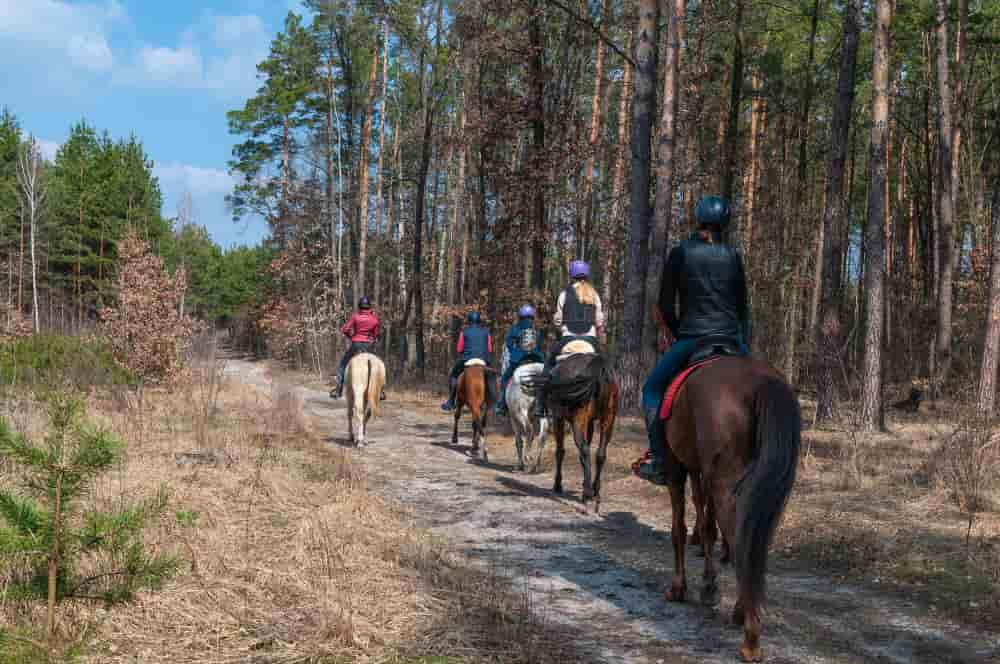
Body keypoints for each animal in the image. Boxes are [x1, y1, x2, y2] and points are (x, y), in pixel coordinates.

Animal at [540, 342, 616, 512]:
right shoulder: (590, 423)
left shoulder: (559, 418)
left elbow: (560, 451)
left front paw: (558, 485)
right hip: (608, 419)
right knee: (600, 454)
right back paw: (595, 492)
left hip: (577, 420)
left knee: (584, 450)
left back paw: (587, 494)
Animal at [660, 358, 800, 664]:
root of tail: (759, 380)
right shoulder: (701, 474)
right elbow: (707, 526)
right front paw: (708, 584)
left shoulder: (676, 468)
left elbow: (680, 528)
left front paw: (681, 587)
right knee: (749, 541)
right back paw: (742, 612)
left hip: (723, 482)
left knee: (738, 540)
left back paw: (750, 639)